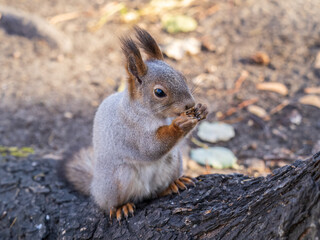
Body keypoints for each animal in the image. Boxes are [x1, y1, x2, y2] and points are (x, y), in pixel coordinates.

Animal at [60, 26, 209, 221]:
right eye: (159, 92)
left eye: (182, 76)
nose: (190, 104)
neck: (156, 116)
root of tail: (94, 187)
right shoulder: (129, 130)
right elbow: (150, 148)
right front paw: (180, 124)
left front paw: (202, 109)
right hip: (118, 179)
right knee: (112, 203)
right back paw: (120, 207)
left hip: (174, 162)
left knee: (156, 192)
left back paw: (173, 184)